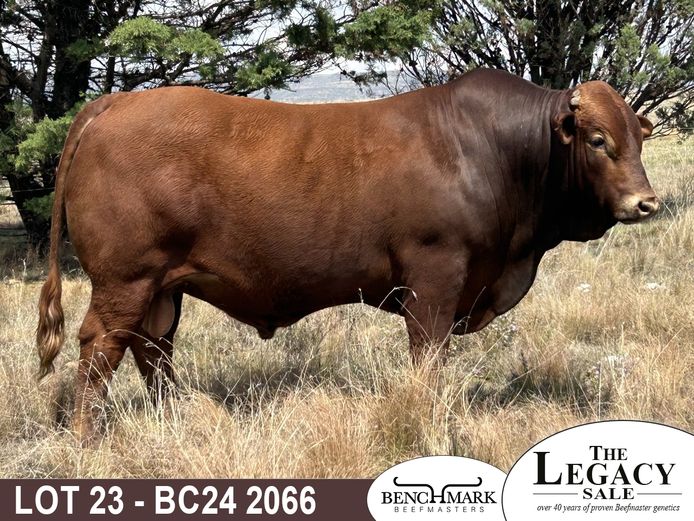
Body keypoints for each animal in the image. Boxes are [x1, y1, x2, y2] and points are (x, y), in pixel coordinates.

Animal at [36, 68, 659, 443]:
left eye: (639, 137)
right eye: (598, 139)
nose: (645, 202)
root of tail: (117, 102)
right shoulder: (435, 278)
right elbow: (428, 357)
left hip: (162, 286)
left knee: (152, 348)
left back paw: (175, 419)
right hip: (126, 278)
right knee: (101, 347)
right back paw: (87, 437)